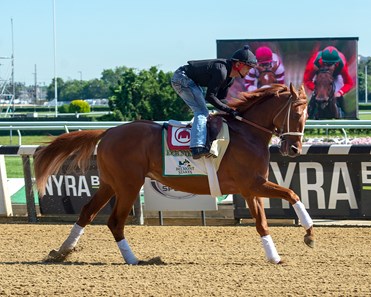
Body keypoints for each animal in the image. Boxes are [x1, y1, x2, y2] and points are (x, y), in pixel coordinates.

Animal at [34, 82, 314, 264]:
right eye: (297, 113)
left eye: (307, 114)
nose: (294, 149)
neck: (247, 133)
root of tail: (109, 131)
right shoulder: (252, 184)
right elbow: (291, 194)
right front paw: (308, 234)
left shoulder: (250, 188)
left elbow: (262, 221)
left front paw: (275, 256)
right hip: (128, 185)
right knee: (115, 221)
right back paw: (134, 259)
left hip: (109, 184)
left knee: (87, 213)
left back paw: (62, 251)